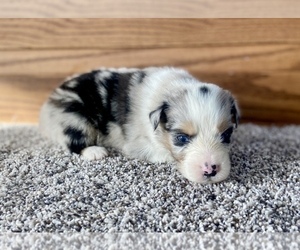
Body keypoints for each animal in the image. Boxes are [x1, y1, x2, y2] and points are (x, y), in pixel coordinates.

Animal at [39, 66, 239, 184]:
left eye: (226, 135)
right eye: (181, 138)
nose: (210, 170)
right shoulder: (137, 145)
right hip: (73, 117)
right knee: (72, 141)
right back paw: (94, 151)